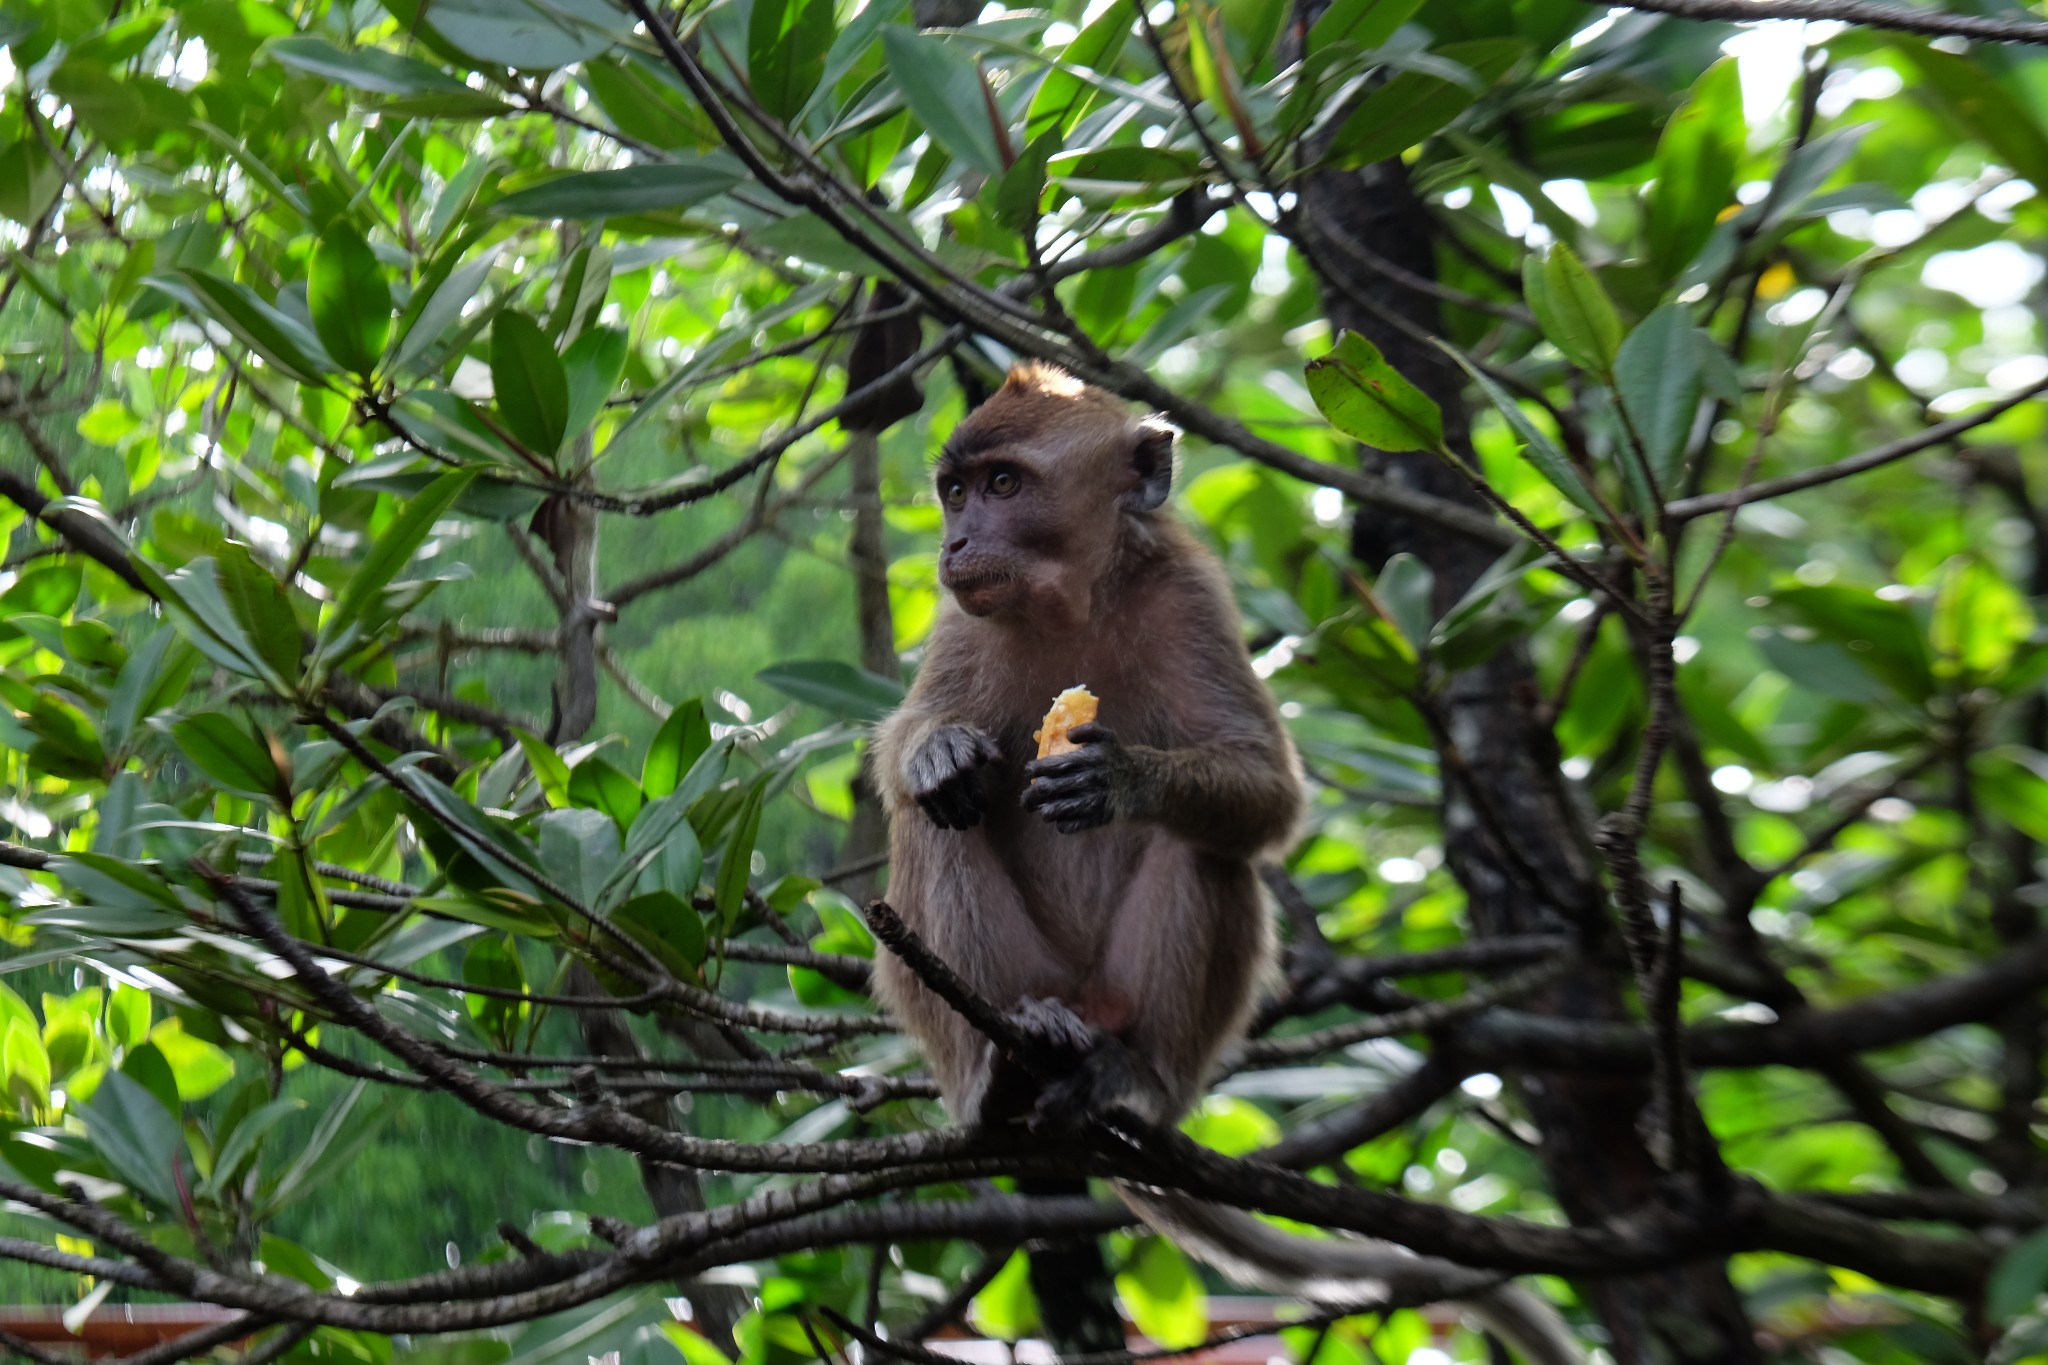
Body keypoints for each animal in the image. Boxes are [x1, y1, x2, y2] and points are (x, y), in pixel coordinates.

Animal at [868, 362, 1581, 1365]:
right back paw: (1004, 1072)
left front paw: (1124, 777)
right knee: (937, 827)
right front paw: (939, 752)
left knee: (1205, 846)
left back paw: (1129, 1079)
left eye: (1004, 484)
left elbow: (1267, 795)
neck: (1072, 598)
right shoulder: (961, 621)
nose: (958, 538)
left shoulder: (1192, 598)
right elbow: (907, 757)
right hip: (1005, 986)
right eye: (956, 490)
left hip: (1137, 1003)